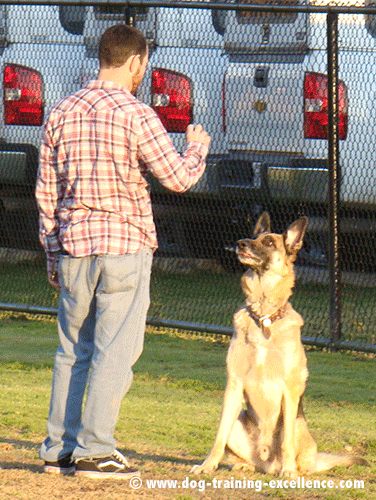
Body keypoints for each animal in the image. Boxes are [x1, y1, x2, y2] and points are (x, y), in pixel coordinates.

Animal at [192, 213, 368, 478]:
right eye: (252, 236)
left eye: (268, 242)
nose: (240, 243)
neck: (264, 316)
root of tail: (267, 463)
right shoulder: (233, 384)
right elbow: (219, 435)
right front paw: (207, 465)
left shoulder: (289, 388)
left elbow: (286, 441)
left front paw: (288, 471)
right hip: (239, 419)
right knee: (247, 456)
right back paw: (246, 465)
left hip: (299, 427)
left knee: (297, 456)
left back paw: (288, 469)